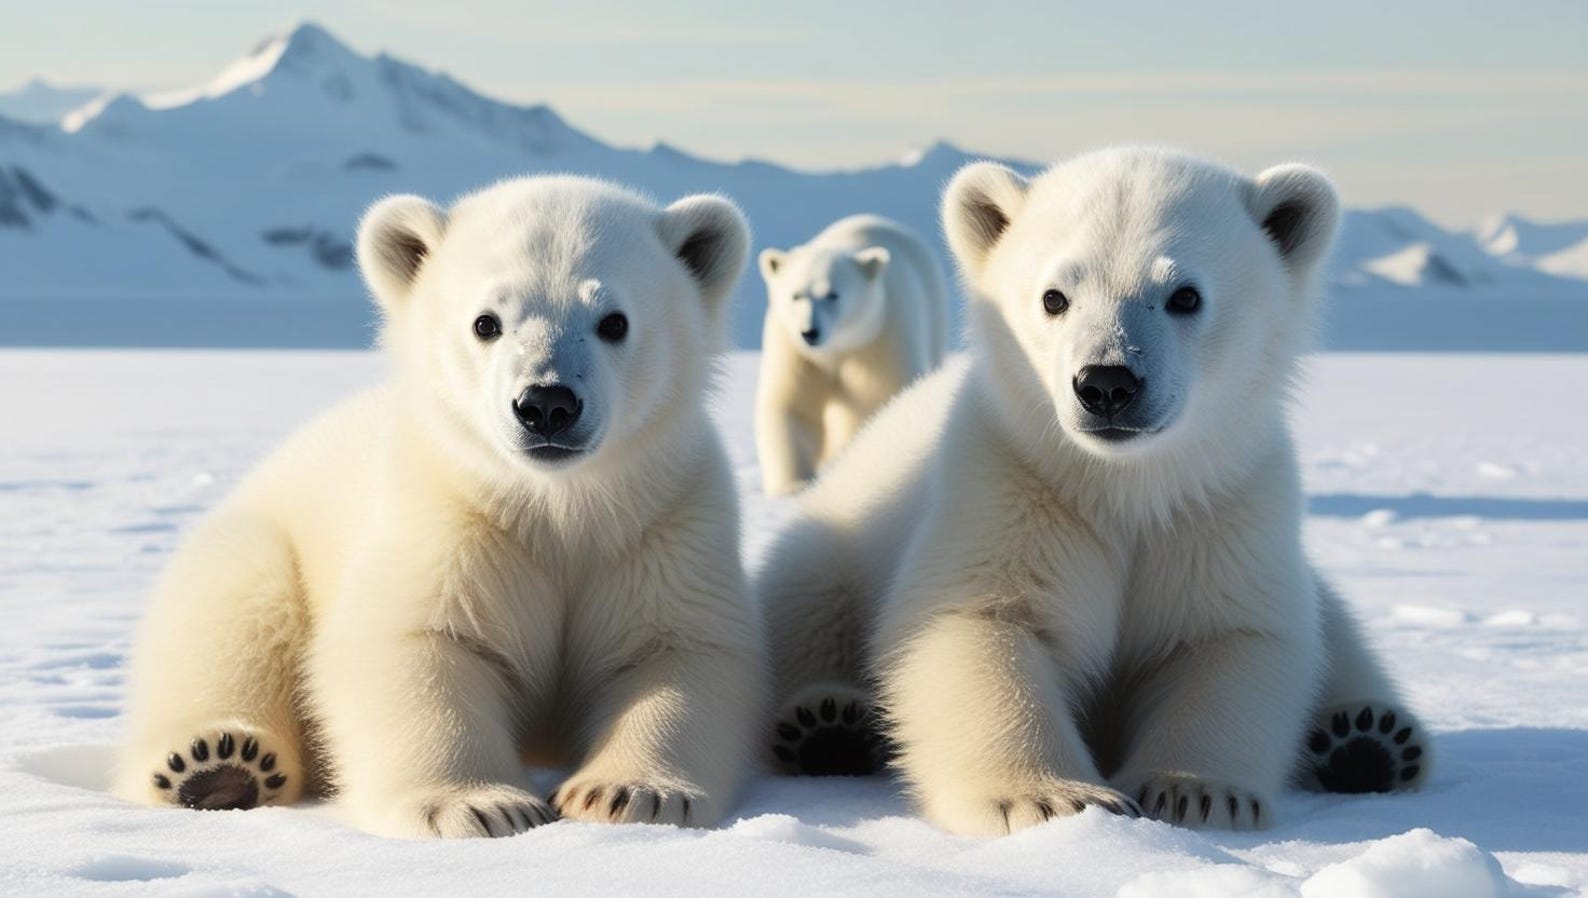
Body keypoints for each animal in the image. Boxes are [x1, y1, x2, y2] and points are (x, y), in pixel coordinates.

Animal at [114, 175, 766, 838]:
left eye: (614, 320)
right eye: (486, 321)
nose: (547, 404)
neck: (554, 505)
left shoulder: (664, 522)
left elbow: (680, 651)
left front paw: (630, 792)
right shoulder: (446, 518)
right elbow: (418, 640)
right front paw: (480, 805)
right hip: (260, 541)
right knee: (230, 622)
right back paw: (218, 764)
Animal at [755, 215, 950, 496]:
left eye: (832, 294)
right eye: (796, 295)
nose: (810, 332)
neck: (836, 350)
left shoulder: (880, 341)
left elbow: (884, 401)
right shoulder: (796, 352)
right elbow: (794, 406)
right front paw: (794, 486)